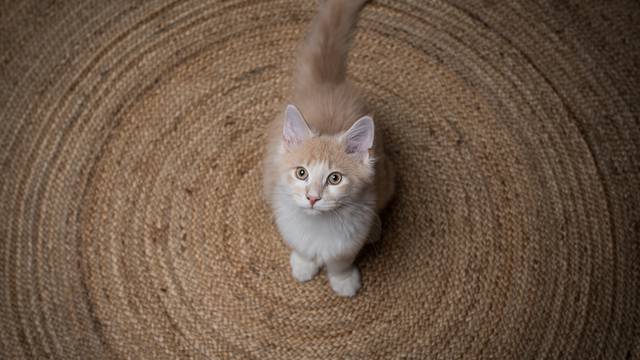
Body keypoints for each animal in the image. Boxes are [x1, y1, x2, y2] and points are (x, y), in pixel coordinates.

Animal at [262, 0, 392, 298]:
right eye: (301, 173)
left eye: (335, 178)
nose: (312, 198)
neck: (318, 226)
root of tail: (327, 84)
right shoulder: (287, 221)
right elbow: (301, 248)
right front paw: (303, 265)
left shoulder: (350, 238)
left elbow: (341, 261)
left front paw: (343, 281)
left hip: (387, 178)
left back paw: (376, 229)